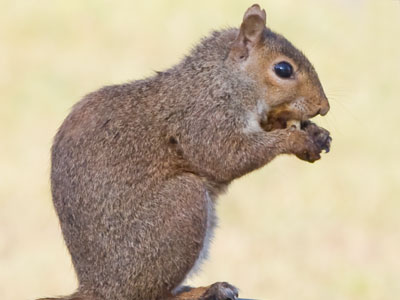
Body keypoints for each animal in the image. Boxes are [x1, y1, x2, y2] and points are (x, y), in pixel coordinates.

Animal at [39, 4, 332, 300]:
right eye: (283, 69)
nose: (323, 107)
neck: (220, 80)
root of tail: (99, 288)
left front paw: (315, 133)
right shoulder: (204, 118)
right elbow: (227, 157)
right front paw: (296, 139)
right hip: (182, 206)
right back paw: (203, 290)